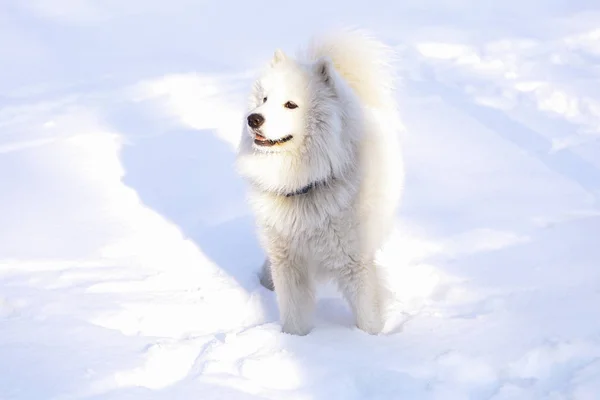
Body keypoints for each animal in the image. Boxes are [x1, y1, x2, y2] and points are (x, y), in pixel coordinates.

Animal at [234, 29, 404, 334]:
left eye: (291, 104)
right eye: (264, 99)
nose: (253, 119)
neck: (304, 182)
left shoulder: (355, 262)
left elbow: (367, 316)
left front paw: (371, 341)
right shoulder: (288, 261)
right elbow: (294, 316)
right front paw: (296, 340)